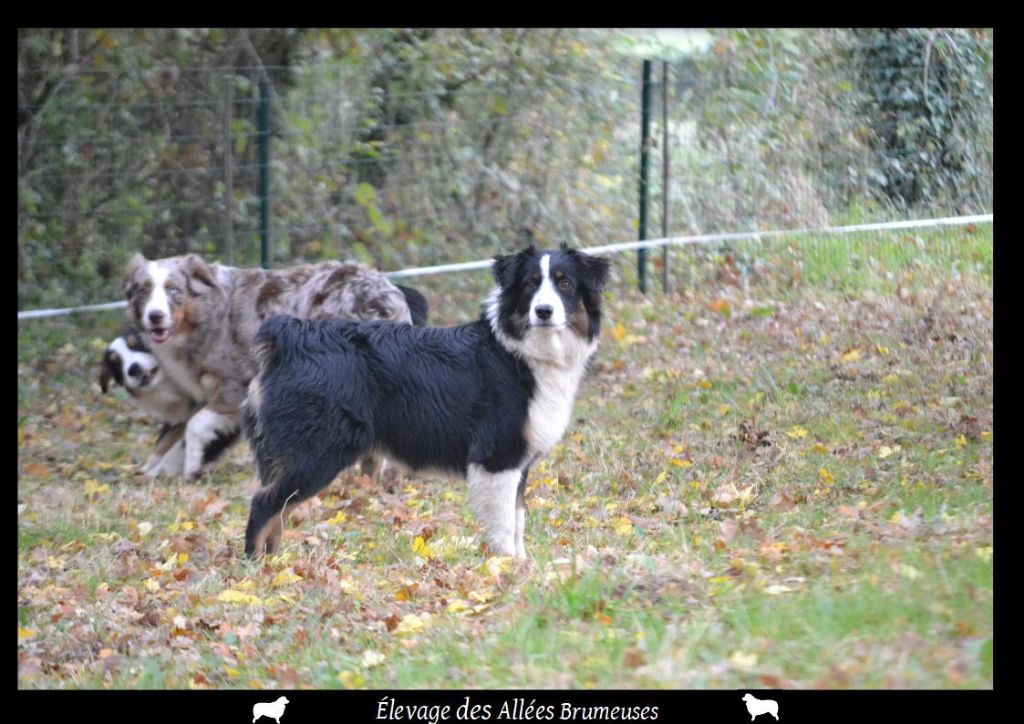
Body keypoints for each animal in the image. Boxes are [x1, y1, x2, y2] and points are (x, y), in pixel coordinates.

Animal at [101, 327, 199, 475]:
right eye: (116, 364)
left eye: (139, 344)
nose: (133, 369)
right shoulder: (180, 418)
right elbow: (162, 445)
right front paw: (145, 470)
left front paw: (157, 472)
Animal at [239, 243, 606, 557]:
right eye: (530, 284)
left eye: (566, 283)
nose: (543, 311)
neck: (521, 352)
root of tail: (288, 335)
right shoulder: (497, 457)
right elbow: (504, 526)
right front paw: (507, 570)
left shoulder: (518, 462)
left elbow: (518, 521)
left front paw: (524, 566)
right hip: (318, 453)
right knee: (263, 506)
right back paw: (257, 569)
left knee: (277, 512)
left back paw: (275, 564)